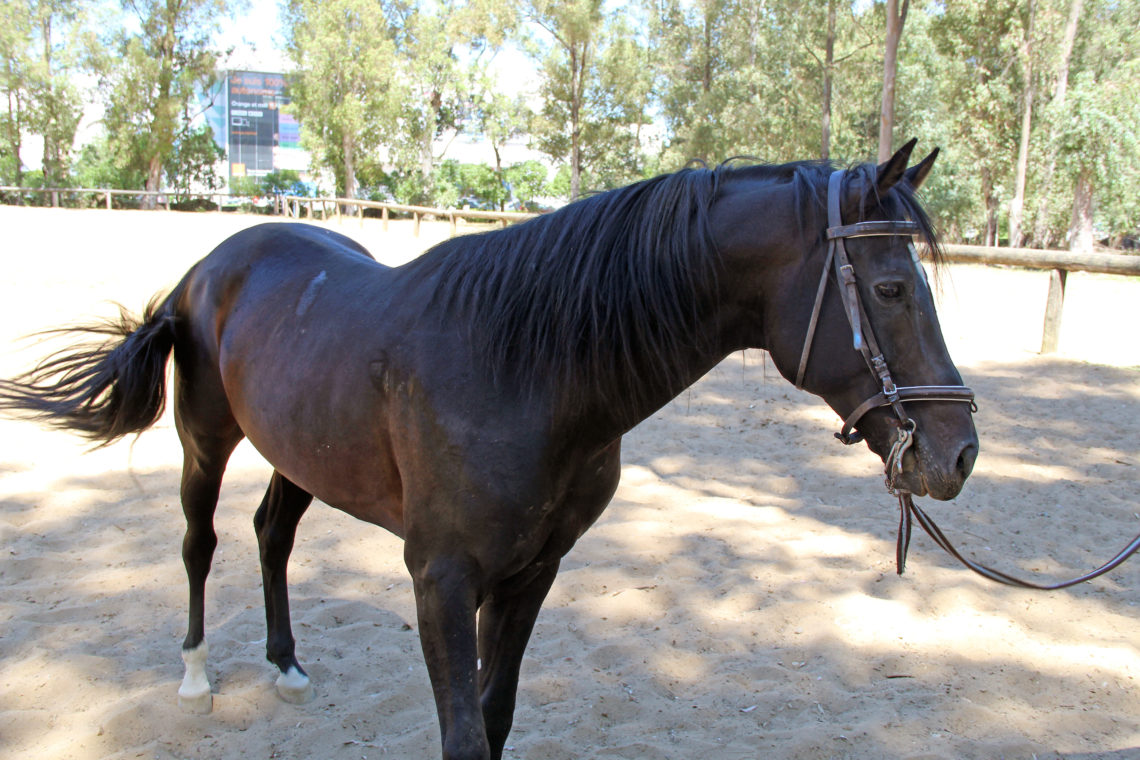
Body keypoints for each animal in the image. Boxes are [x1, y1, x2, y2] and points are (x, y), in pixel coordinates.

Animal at [2, 139, 980, 756]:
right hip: (207, 442)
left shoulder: (531, 573)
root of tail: (206, 268)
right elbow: (462, 735)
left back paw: (284, 665)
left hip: (298, 453)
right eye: (891, 288)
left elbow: (496, 716)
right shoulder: (439, 578)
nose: (960, 450)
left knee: (271, 535)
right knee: (200, 544)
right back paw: (197, 678)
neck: (524, 367)